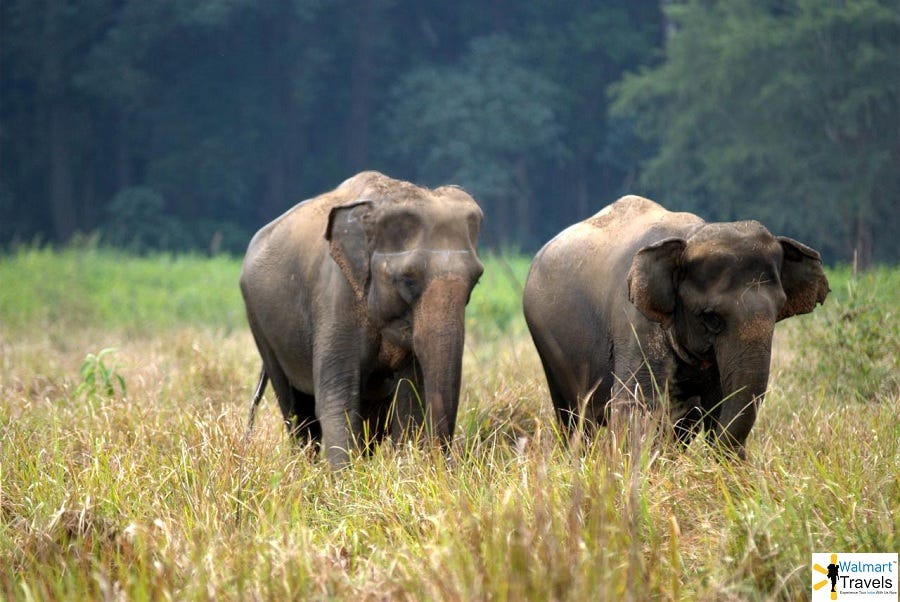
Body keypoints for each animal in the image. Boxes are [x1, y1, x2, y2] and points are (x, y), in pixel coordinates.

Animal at [236, 171, 482, 466]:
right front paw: (344, 476)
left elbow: (409, 396)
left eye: (476, 280)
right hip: (260, 325)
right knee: (295, 408)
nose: (441, 463)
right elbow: (337, 397)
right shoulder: (337, 296)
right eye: (408, 279)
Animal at [520, 195, 828, 458]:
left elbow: (715, 404)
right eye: (712, 319)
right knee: (574, 420)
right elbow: (636, 407)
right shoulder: (636, 321)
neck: (690, 236)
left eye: (778, 312)